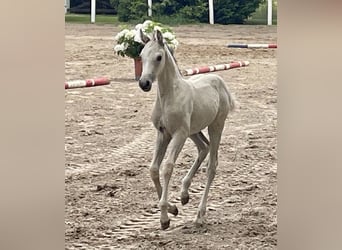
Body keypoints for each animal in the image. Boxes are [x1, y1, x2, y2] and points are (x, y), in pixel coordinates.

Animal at [138, 28, 234, 229]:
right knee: (203, 147)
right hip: (194, 130)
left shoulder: (179, 134)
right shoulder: (163, 133)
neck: (169, 96)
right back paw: (184, 194)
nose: (144, 83)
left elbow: (167, 167)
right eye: (141, 55)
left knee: (212, 165)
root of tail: (219, 80)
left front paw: (165, 217)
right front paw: (173, 208)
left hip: (215, 126)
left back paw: (199, 215)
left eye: (158, 57)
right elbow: (153, 169)